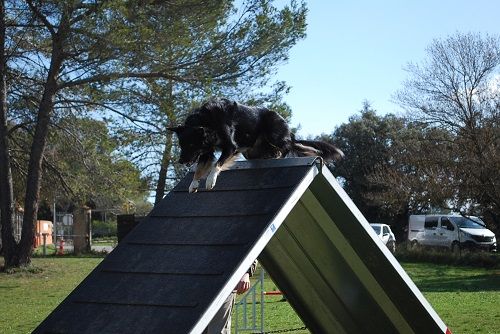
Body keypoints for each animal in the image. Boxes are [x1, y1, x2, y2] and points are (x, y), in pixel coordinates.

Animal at [168, 97, 344, 193]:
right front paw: (193, 184)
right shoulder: (206, 151)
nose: (181, 161)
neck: (207, 121)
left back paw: (281, 155)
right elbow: (199, 168)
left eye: (191, 144)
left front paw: (211, 180)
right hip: (251, 150)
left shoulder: (231, 147)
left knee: (289, 146)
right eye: (181, 145)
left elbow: (217, 164)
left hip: (274, 134)